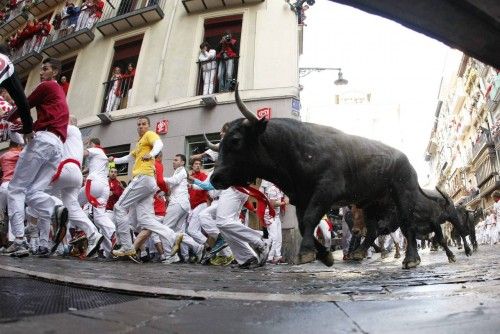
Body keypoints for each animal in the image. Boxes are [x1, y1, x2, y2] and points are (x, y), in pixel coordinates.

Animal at [211, 85, 468, 268]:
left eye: (235, 140)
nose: (215, 178)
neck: (297, 149)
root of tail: (405, 159)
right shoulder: (301, 197)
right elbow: (305, 224)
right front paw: (324, 254)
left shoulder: (326, 191)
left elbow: (309, 220)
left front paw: (306, 253)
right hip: (371, 204)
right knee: (372, 231)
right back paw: (359, 252)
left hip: (403, 194)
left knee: (407, 227)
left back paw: (411, 259)